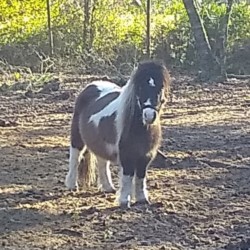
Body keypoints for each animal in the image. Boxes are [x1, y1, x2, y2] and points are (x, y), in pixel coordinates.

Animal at [65, 59, 170, 208]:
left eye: (160, 88)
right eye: (140, 88)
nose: (149, 115)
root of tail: (92, 85)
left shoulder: (145, 155)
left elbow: (140, 177)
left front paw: (142, 199)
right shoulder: (127, 155)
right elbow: (128, 176)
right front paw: (124, 201)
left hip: (100, 143)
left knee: (102, 162)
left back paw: (107, 187)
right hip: (77, 138)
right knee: (75, 156)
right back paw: (72, 185)